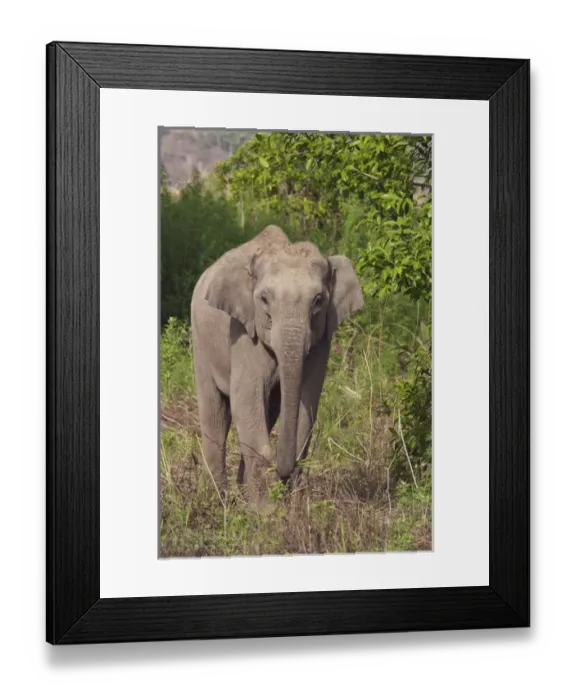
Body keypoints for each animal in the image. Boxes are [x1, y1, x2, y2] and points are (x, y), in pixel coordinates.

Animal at [190, 225, 364, 504]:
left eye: (318, 300)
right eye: (264, 299)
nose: (282, 472)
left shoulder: (322, 338)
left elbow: (308, 402)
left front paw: (288, 504)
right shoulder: (243, 330)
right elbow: (245, 399)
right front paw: (266, 511)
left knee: (267, 411)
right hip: (200, 340)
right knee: (215, 415)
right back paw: (219, 500)